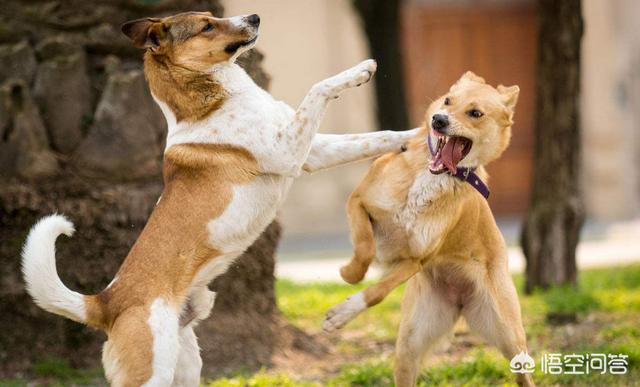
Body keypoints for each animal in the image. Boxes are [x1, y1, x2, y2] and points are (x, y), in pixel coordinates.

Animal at [20, 10, 418, 386]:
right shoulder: (289, 150)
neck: (213, 99)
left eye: (213, 16)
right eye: (207, 27)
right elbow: (318, 88)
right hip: (151, 372)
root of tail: (105, 303)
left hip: (185, 365)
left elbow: (379, 136)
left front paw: (421, 135)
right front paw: (359, 71)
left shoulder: (313, 152)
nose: (255, 16)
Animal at [320, 73, 536, 387]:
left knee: (522, 371)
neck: (431, 175)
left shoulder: (415, 259)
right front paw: (350, 274)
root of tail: (459, 301)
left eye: (475, 113)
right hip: (409, 345)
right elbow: (364, 248)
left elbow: (378, 291)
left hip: (509, 335)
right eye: (447, 101)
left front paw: (342, 313)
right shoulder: (358, 202)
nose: (438, 120)